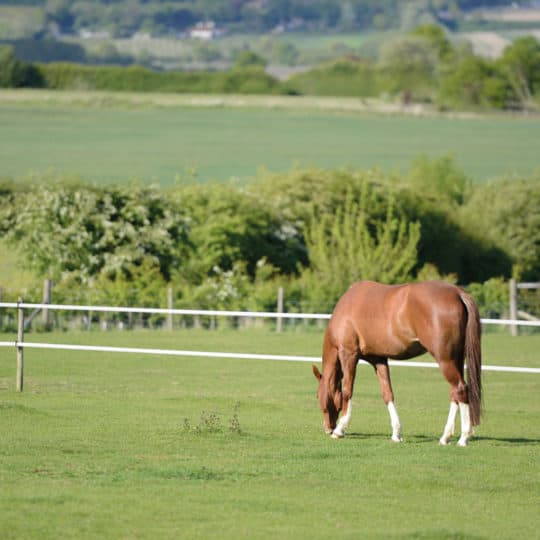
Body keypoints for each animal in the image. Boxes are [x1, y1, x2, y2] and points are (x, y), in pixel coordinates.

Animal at [310, 280, 484, 446]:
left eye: (317, 395)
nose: (328, 428)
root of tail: (458, 293)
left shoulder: (349, 354)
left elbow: (347, 391)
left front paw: (340, 429)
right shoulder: (378, 359)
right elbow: (387, 393)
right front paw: (396, 433)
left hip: (445, 359)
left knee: (460, 389)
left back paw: (463, 438)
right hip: (456, 359)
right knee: (455, 393)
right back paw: (445, 437)